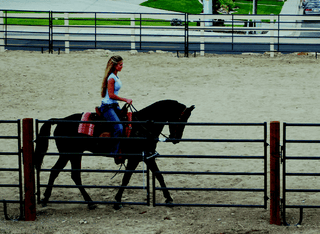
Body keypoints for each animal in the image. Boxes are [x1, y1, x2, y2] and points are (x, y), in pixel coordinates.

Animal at [35, 99, 195, 209]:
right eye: (181, 119)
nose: (176, 139)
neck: (142, 125)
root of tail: (60, 121)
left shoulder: (147, 156)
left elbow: (158, 175)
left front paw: (168, 198)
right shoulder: (136, 158)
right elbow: (127, 178)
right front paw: (117, 201)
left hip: (71, 154)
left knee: (62, 173)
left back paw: (51, 199)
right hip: (70, 154)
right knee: (67, 174)